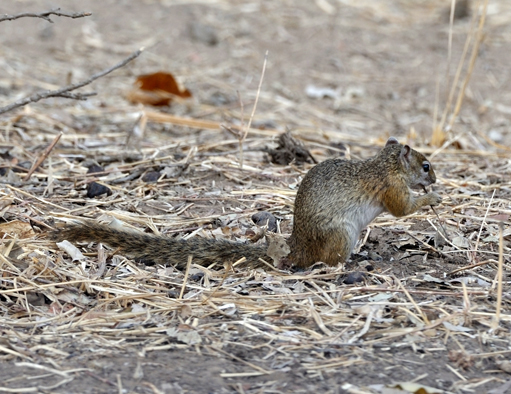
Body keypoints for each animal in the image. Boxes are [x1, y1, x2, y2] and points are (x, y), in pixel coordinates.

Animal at [54, 137, 442, 270]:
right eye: (425, 166)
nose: (436, 179)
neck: (386, 164)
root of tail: (297, 248)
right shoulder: (390, 188)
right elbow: (402, 210)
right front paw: (432, 197)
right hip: (340, 234)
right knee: (324, 261)